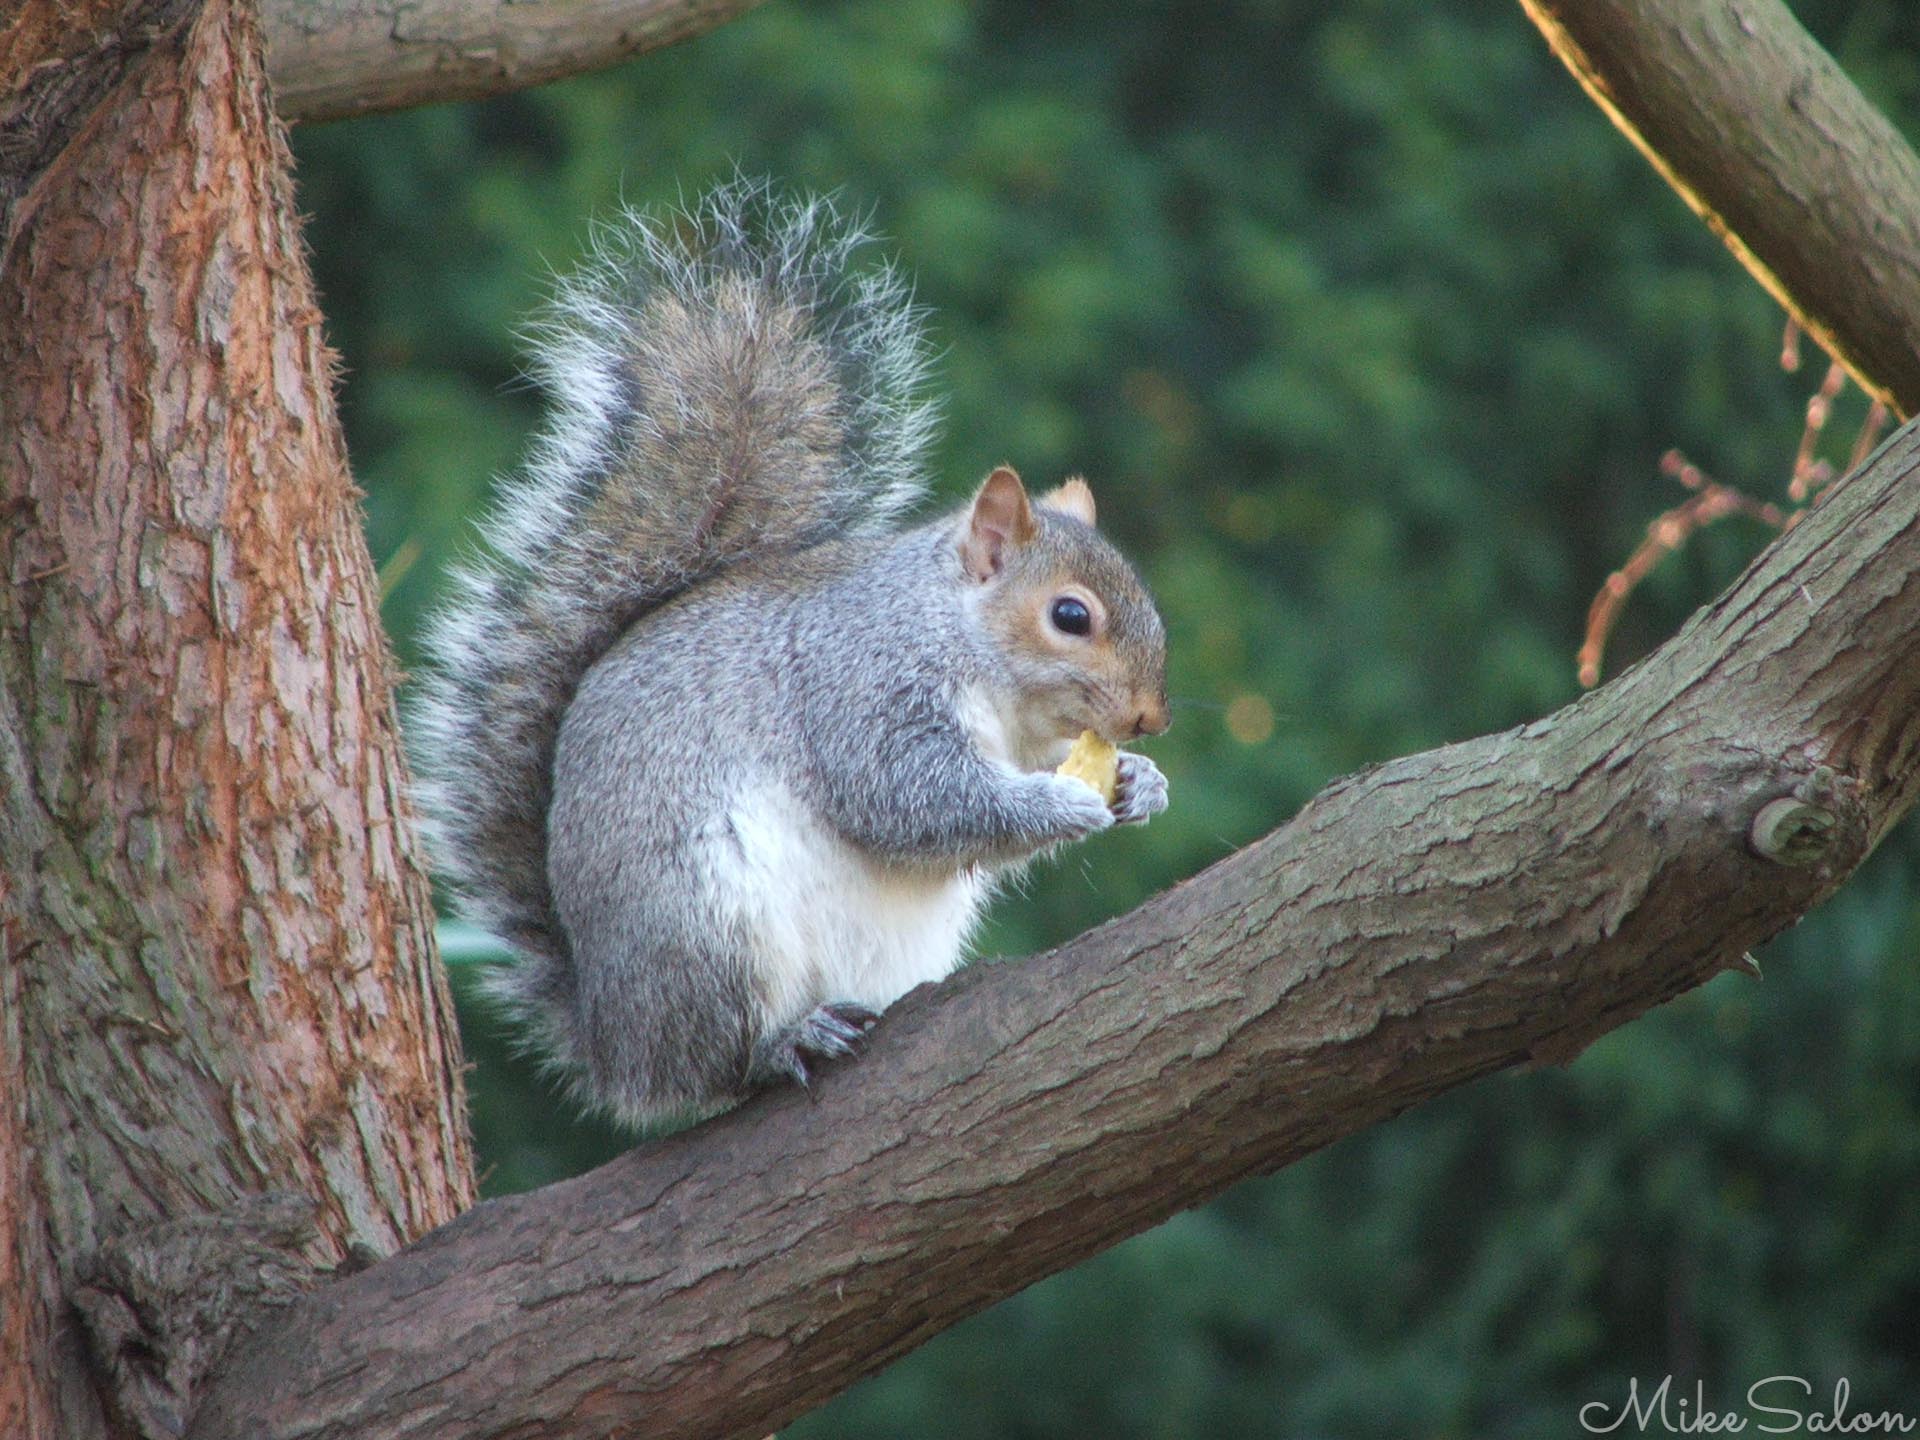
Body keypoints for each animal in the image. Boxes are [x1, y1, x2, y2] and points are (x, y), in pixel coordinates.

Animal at [410, 182, 1171, 1127]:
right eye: (1070, 616)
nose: (1151, 717)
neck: (959, 638)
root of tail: (611, 1039)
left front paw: (1140, 783)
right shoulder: (864, 685)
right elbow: (912, 796)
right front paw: (1060, 804)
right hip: (709, 925)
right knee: (718, 1066)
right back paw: (783, 1041)